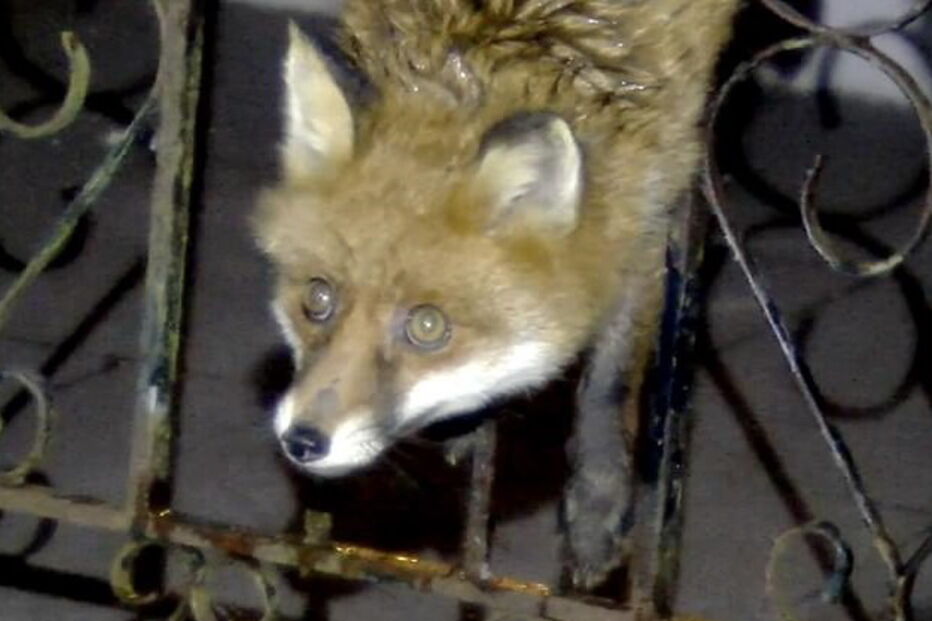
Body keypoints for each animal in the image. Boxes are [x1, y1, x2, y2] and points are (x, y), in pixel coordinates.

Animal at [254, 0, 738, 588]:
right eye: (317, 299)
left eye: (428, 327)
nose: (301, 441)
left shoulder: (654, 203)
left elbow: (611, 380)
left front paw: (596, 509)